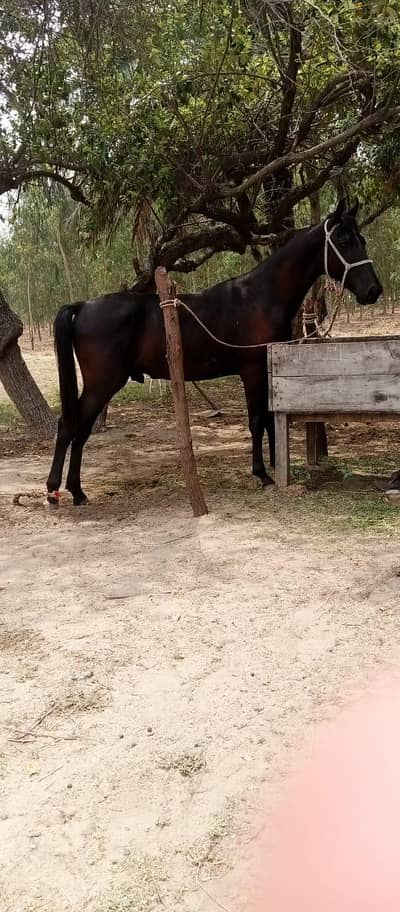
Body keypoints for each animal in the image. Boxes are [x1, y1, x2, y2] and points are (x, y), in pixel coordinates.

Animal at [46, 199, 382, 506]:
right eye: (343, 241)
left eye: (363, 240)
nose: (374, 290)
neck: (260, 297)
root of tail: (83, 306)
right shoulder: (252, 371)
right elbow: (257, 420)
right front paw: (262, 473)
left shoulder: (267, 370)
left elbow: (268, 418)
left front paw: (275, 466)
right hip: (102, 384)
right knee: (69, 427)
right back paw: (55, 490)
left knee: (81, 431)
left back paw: (77, 492)